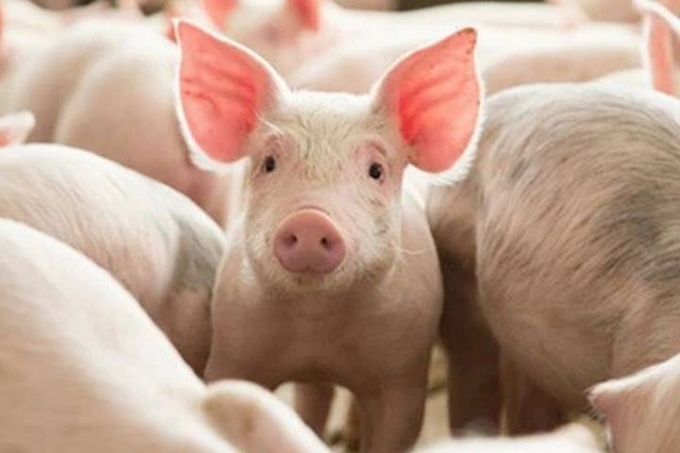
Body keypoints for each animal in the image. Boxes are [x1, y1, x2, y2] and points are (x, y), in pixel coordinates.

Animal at [173, 19, 483, 453]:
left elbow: (394, 429)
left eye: (375, 170)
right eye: (269, 162)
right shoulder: (234, 349)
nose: (310, 221)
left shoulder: (403, 375)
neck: (318, 322)